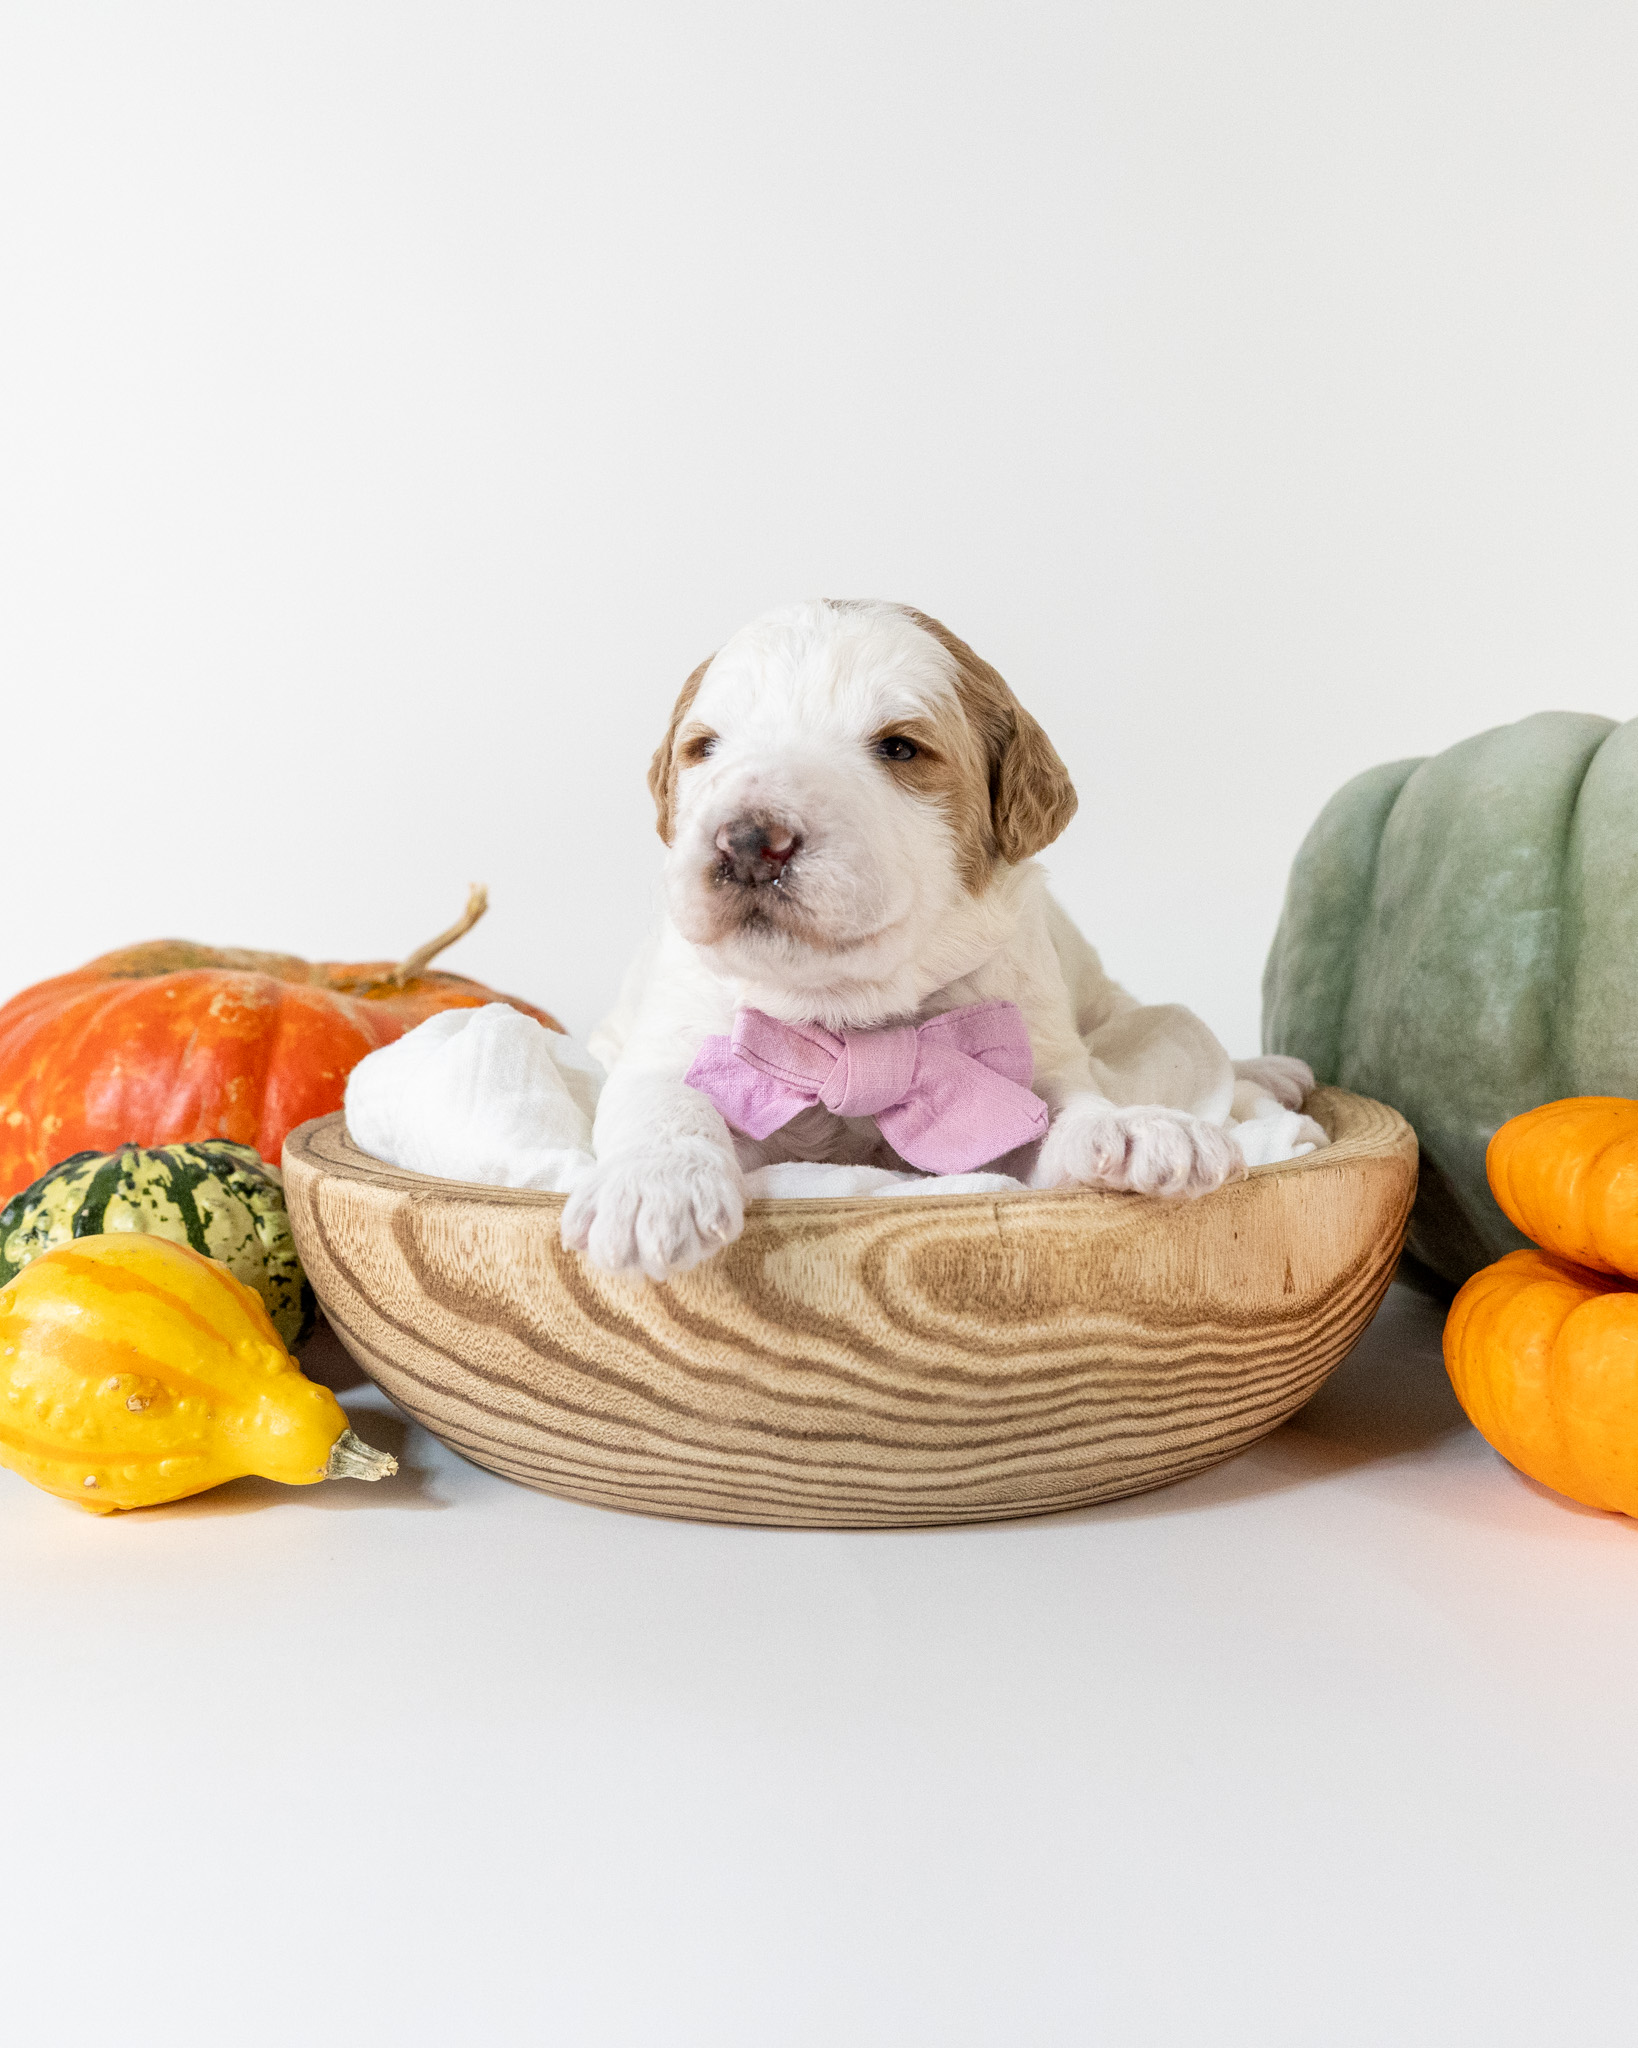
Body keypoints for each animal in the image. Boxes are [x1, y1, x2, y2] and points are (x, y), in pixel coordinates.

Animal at [562, 599, 1312, 1279]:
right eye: (704, 748)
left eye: (899, 747)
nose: (748, 841)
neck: (845, 1012)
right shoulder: (677, 1035)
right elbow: (661, 1098)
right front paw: (652, 1185)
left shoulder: (1027, 1053)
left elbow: (1070, 1109)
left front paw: (1135, 1130)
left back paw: (1265, 1069)